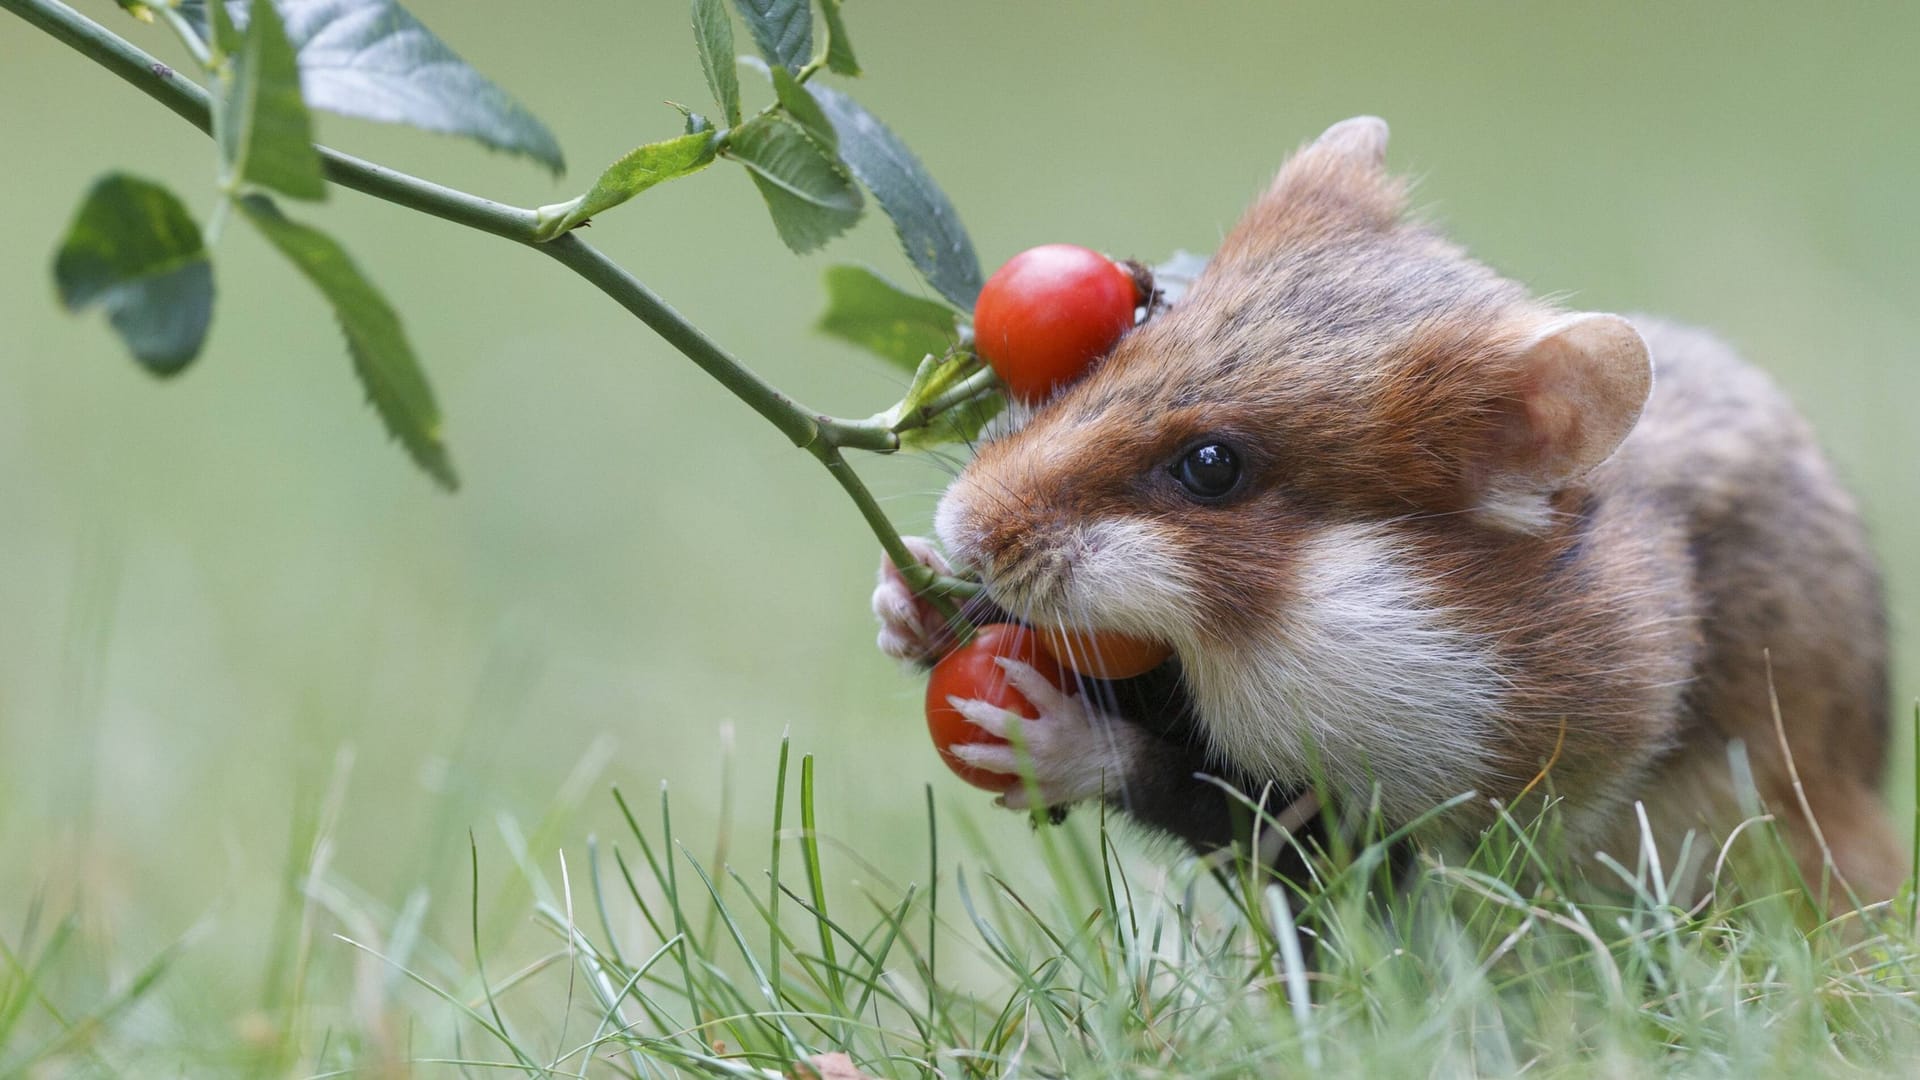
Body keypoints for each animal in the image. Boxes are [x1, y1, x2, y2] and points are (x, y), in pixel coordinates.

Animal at [875, 115, 1904, 899]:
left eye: (1211, 468)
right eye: (1115, 346)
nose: (963, 525)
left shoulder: (1412, 810)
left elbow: (1200, 792)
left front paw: (1035, 734)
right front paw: (906, 596)